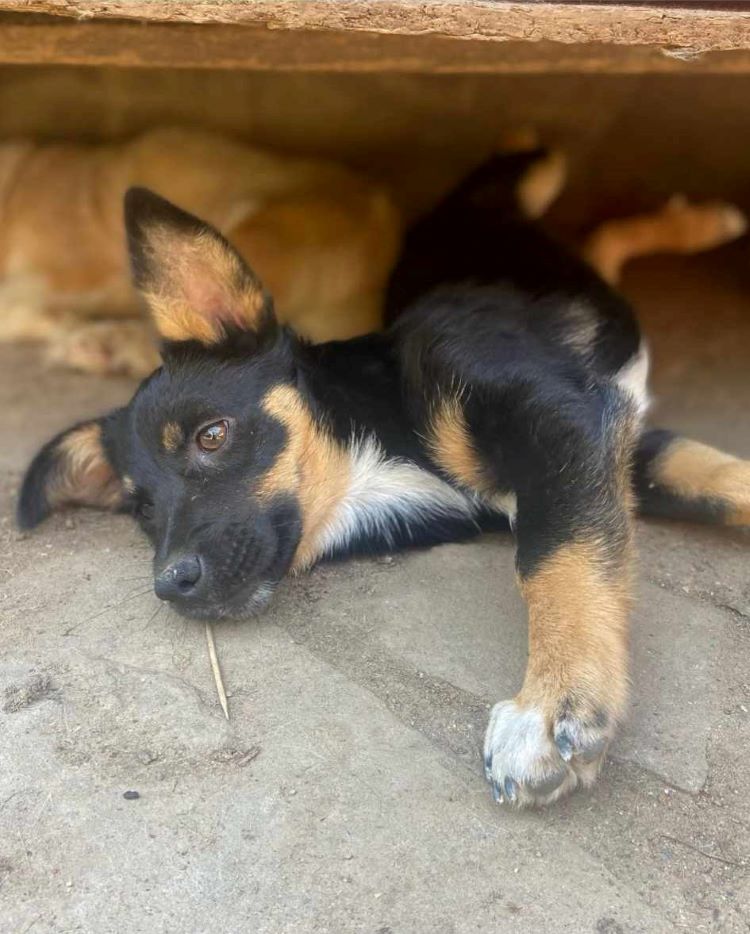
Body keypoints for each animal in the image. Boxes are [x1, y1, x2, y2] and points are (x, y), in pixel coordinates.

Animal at [19, 150, 750, 808]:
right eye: (140, 509)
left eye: (212, 436)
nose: (170, 584)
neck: (385, 442)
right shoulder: (617, 448)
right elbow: (720, 484)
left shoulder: (562, 424)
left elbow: (555, 558)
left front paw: (552, 705)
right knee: (598, 242)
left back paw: (702, 220)